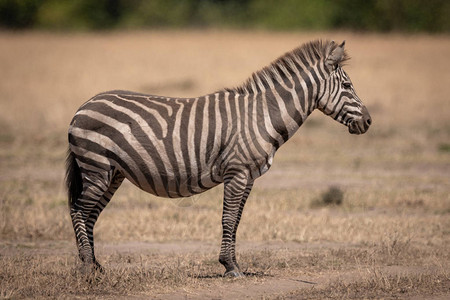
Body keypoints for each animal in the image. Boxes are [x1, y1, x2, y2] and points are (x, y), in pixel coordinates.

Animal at [65, 39, 370, 276]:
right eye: (347, 85)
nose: (368, 122)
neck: (261, 115)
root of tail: (82, 106)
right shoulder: (237, 171)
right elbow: (228, 218)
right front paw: (230, 266)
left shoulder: (249, 176)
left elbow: (237, 220)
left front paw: (232, 264)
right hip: (97, 167)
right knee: (79, 210)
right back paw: (87, 267)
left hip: (112, 173)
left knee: (89, 214)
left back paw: (95, 265)